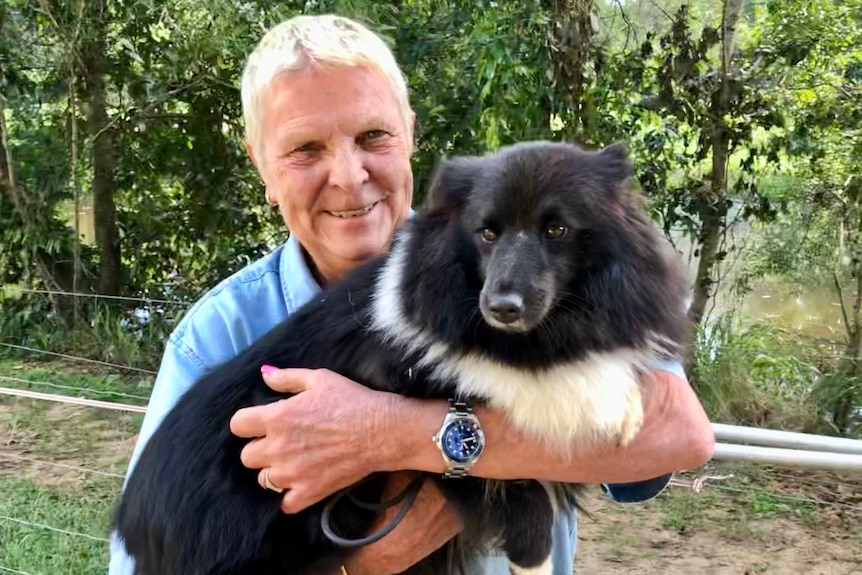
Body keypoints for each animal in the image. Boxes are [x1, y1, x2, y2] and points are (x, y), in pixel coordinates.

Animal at [115, 140, 692, 575]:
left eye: (557, 229)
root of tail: (132, 527)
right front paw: (532, 547)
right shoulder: (402, 371)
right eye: (487, 232)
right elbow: (520, 480)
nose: (501, 308)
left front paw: (623, 407)